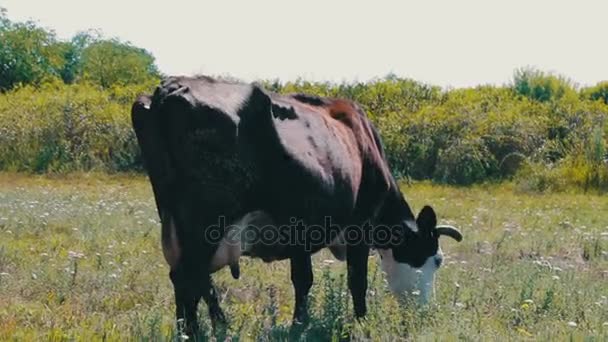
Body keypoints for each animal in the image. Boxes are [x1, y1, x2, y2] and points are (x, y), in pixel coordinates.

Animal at [129, 75, 460, 336]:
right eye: (437, 259)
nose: (425, 311)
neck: (363, 144)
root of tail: (170, 88)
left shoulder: (301, 230)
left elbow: (303, 280)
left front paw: (300, 324)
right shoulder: (357, 227)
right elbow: (356, 281)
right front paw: (359, 323)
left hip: (176, 222)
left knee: (188, 280)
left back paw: (199, 329)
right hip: (205, 223)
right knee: (190, 278)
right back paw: (201, 332)